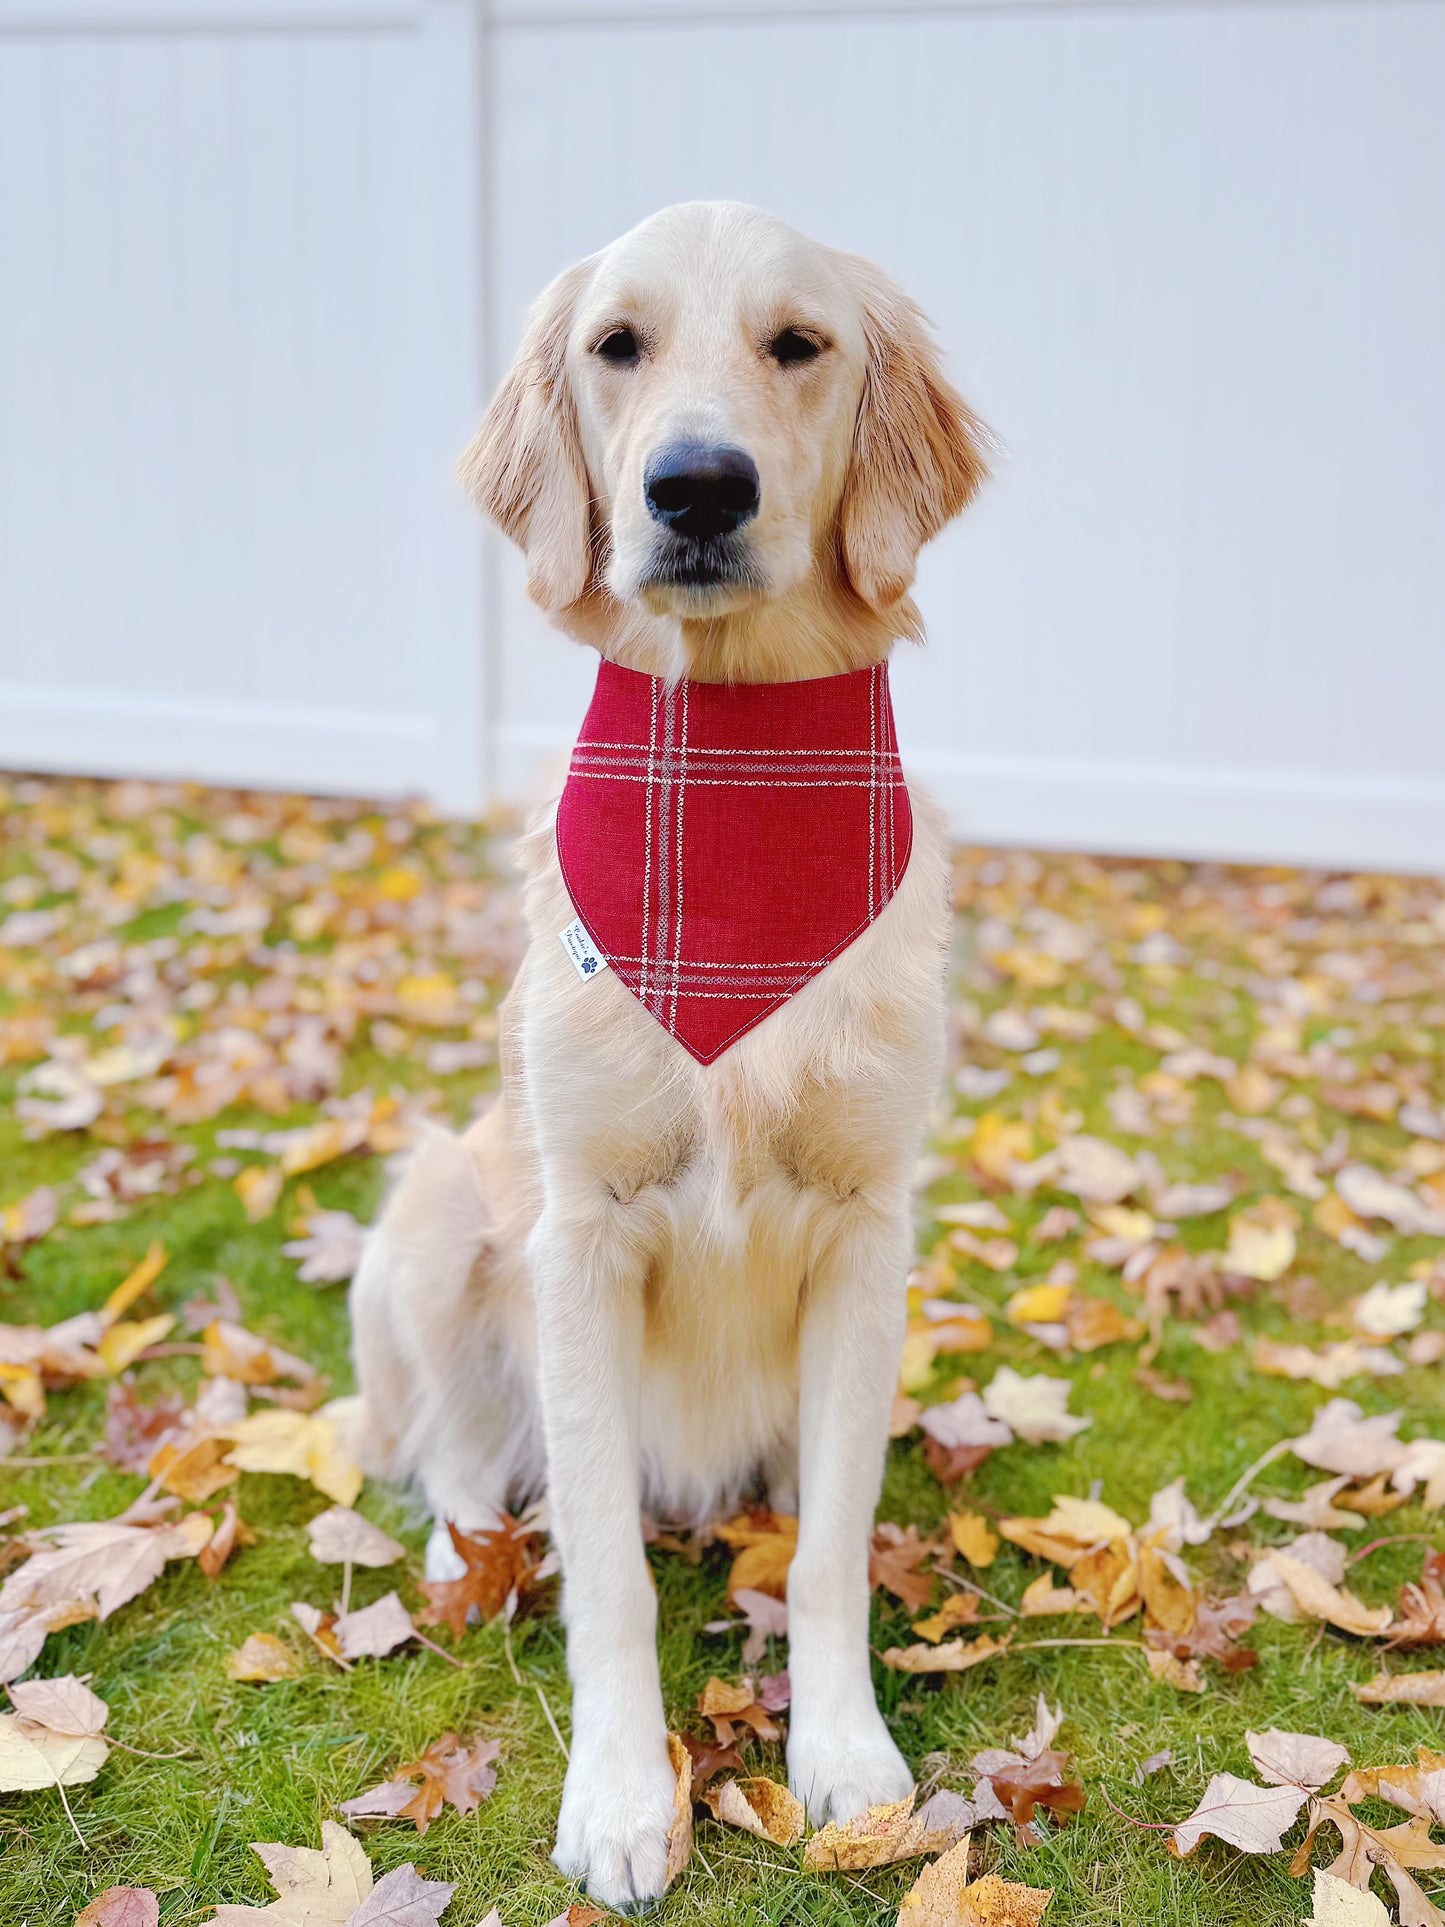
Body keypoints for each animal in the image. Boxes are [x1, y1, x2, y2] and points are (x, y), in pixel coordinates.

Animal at [352, 199, 994, 1911]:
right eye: (616, 345)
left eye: (799, 343)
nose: (697, 486)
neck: (731, 776)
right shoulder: (580, 1232)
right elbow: (609, 1571)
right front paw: (626, 1795)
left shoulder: (867, 1231)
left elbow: (831, 1548)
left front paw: (843, 1754)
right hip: (434, 1215)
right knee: (457, 1458)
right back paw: (471, 1557)